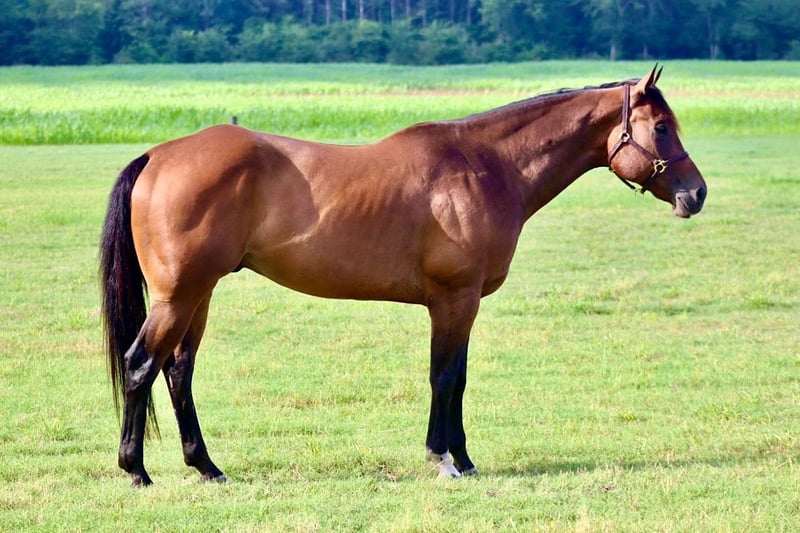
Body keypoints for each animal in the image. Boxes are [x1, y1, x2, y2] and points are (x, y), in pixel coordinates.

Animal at [100, 65, 706, 487]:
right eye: (660, 128)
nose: (696, 194)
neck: (485, 167)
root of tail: (157, 156)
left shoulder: (464, 305)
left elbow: (459, 378)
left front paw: (464, 457)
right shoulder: (453, 300)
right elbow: (444, 377)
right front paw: (443, 460)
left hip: (197, 296)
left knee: (178, 371)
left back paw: (207, 467)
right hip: (179, 297)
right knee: (141, 366)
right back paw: (137, 471)